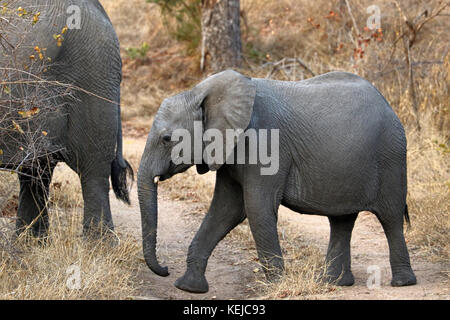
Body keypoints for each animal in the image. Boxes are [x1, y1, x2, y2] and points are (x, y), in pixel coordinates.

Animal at [138, 69, 418, 292]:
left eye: (166, 139)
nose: (165, 269)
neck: (200, 92)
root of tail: (389, 106)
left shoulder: (265, 145)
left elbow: (256, 209)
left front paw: (275, 286)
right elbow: (225, 210)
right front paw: (188, 287)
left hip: (391, 157)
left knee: (390, 217)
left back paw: (402, 283)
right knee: (342, 220)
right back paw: (334, 283)